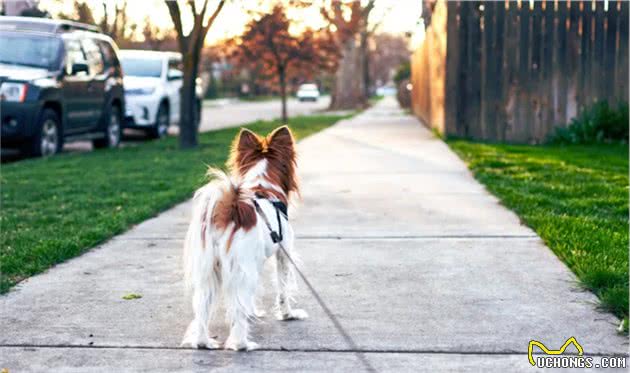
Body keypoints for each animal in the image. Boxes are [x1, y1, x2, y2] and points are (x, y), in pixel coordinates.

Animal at [181, 126, 310, 350]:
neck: (263, 188)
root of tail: (230, 209)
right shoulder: (283, 254)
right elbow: (283, 289)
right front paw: (288, 315)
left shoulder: (255, 262)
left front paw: (254, 312)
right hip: (241, 268)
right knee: (238, 308)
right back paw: (243, 344)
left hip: (210, 271)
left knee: (202, 308)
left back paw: (204, 342)